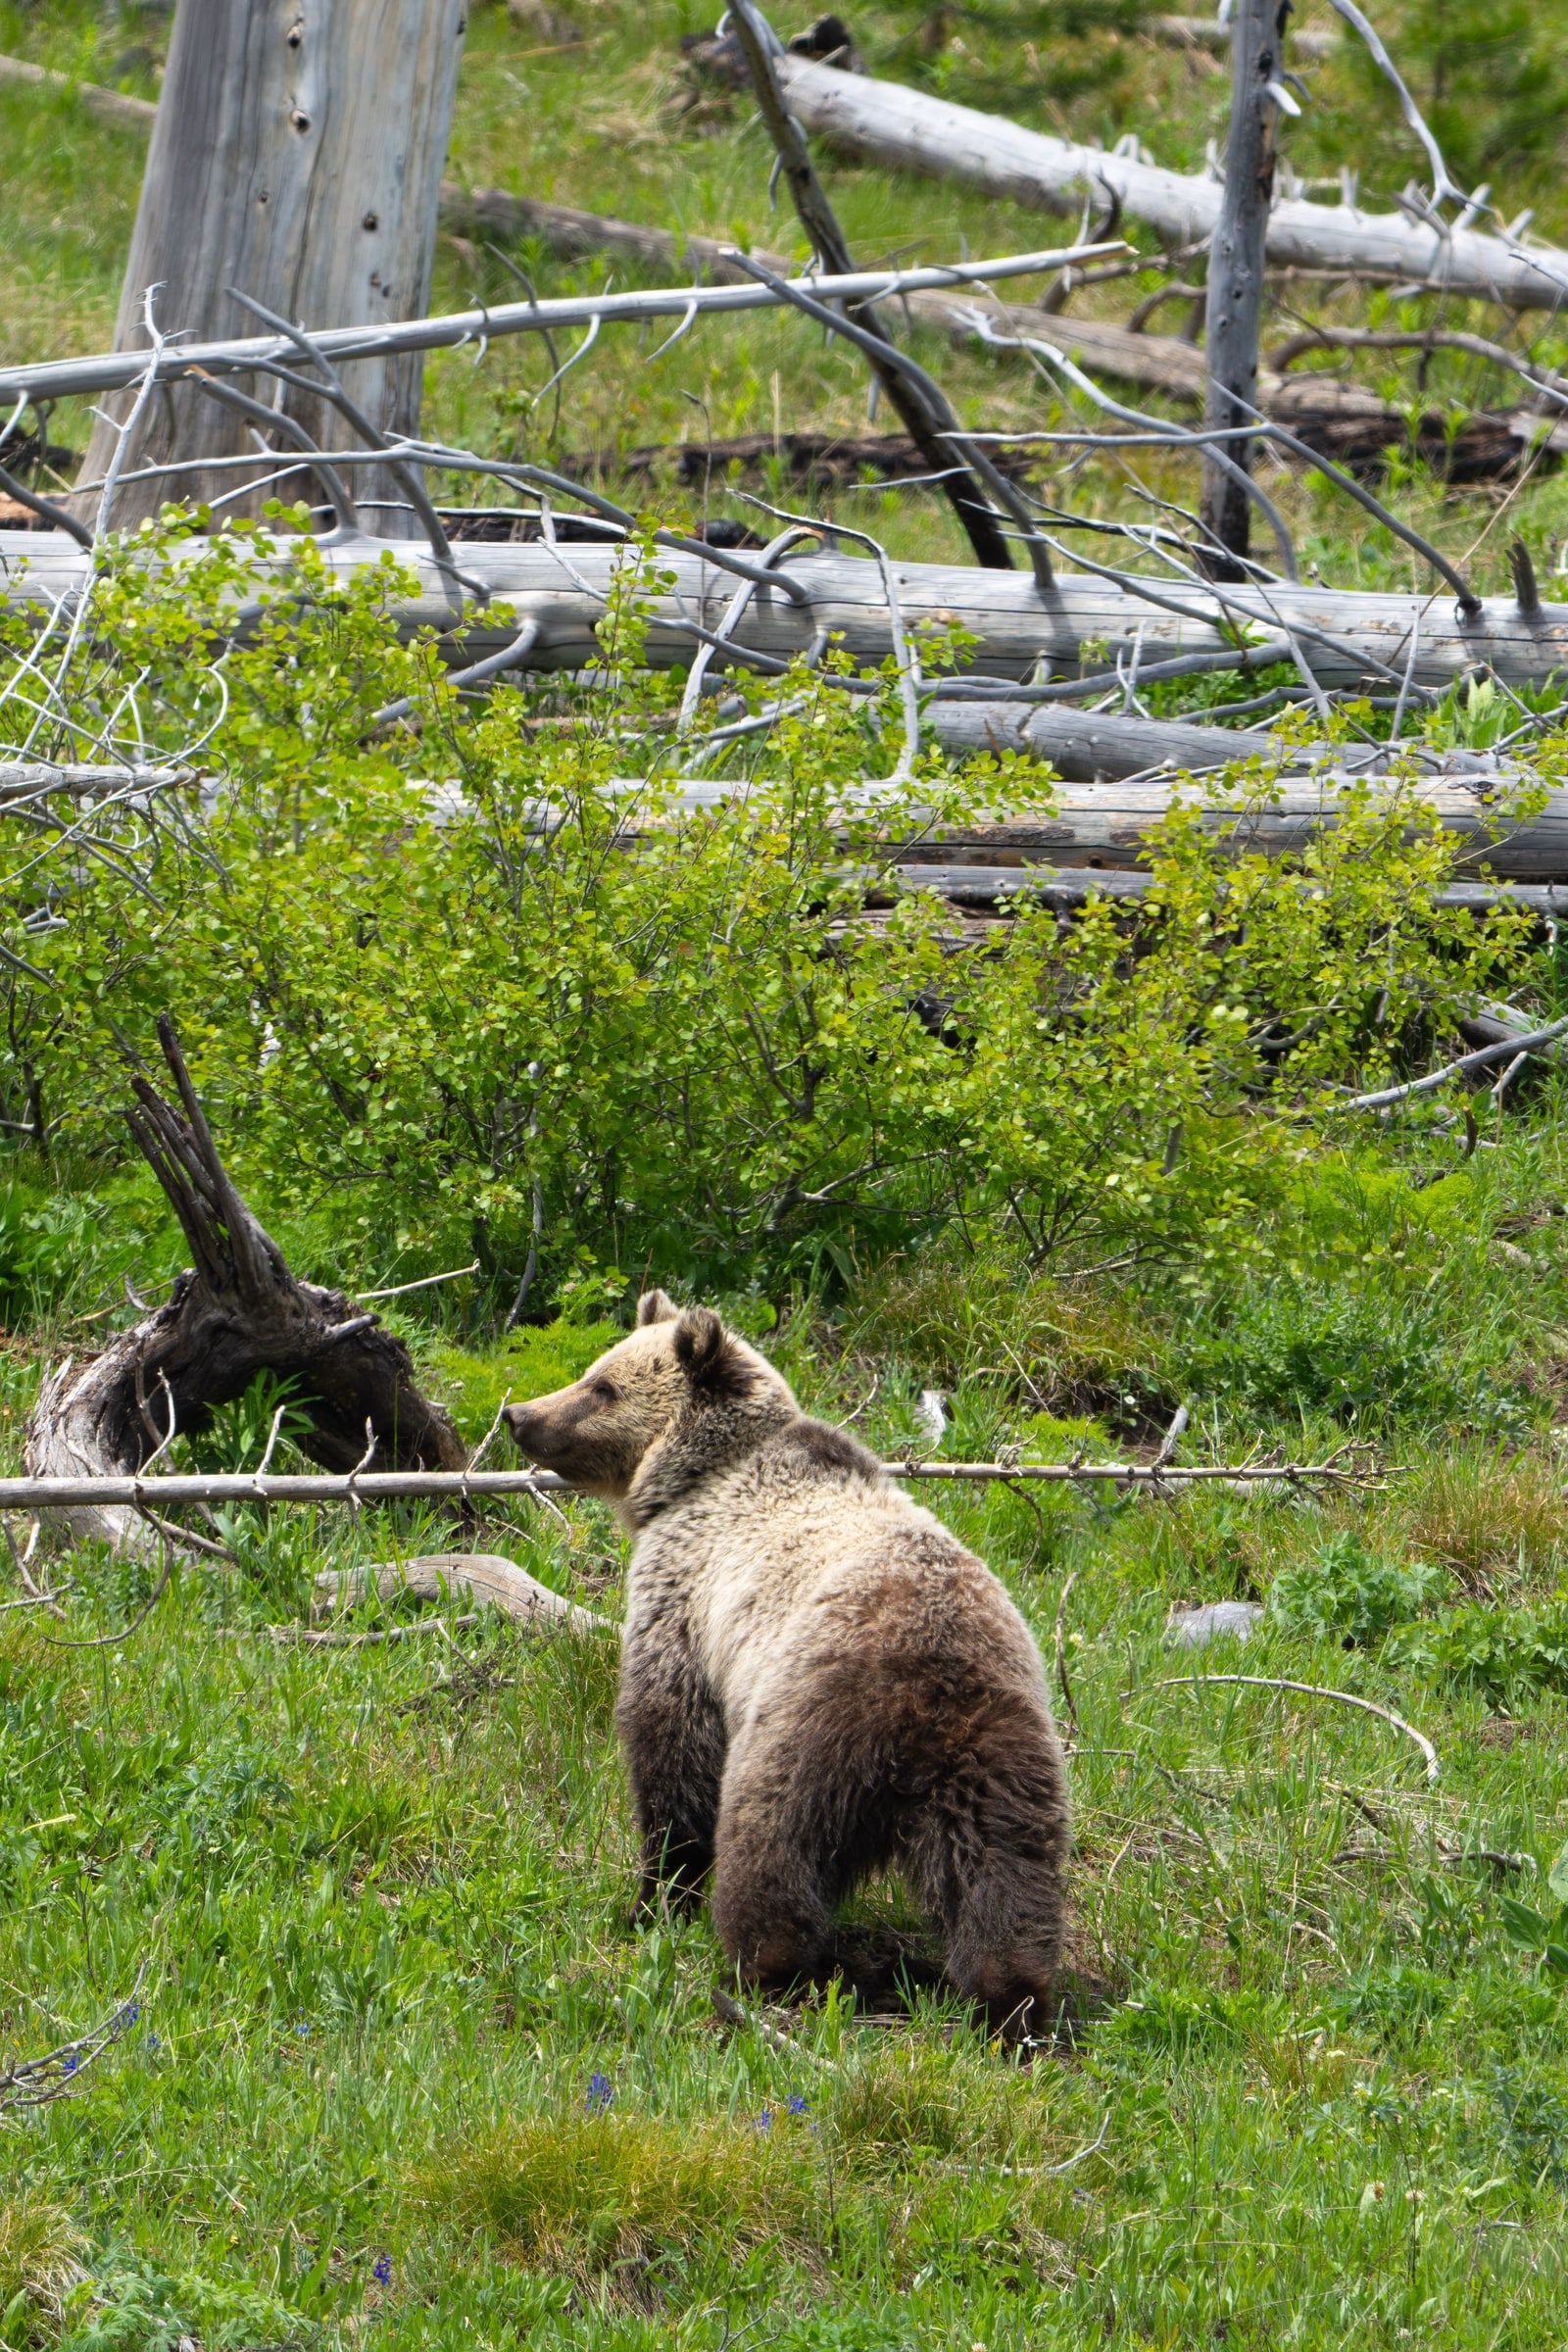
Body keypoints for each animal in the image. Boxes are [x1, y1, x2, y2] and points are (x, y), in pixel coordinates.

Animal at [504, 1291, 1072, 2038]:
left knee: (771, 1844)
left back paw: (761, 1964)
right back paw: (1012, 1998)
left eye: (602, 1386)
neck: (691, 1479)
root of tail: (925, 1690)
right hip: (1000, 1755)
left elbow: (671, 1746)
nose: (518, 1415)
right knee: (1005, 1874)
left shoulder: (684, 1597)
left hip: (807, 1726)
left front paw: (653, 1898)